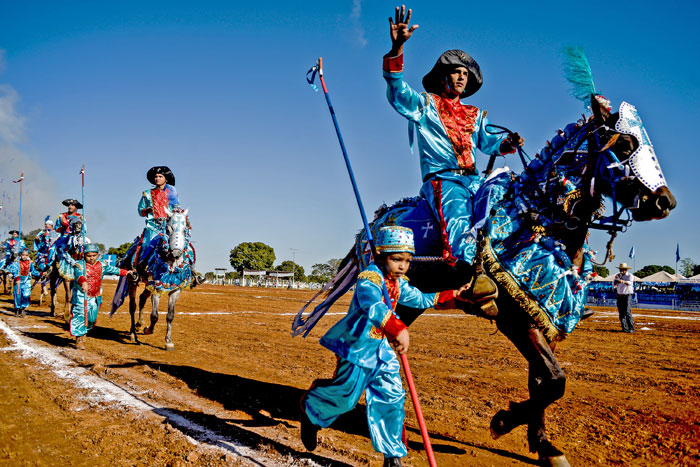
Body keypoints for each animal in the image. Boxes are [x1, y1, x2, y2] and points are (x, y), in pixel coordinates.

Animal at [294, 90, 680, 464]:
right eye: (626, 144)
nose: (665, 202)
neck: (540, 221)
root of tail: (372, 224)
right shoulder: (516, 318)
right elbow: (555, 380)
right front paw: (504, 421)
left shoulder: (547, 320)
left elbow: (541, 381)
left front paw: (543, 444)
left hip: (409, 299)